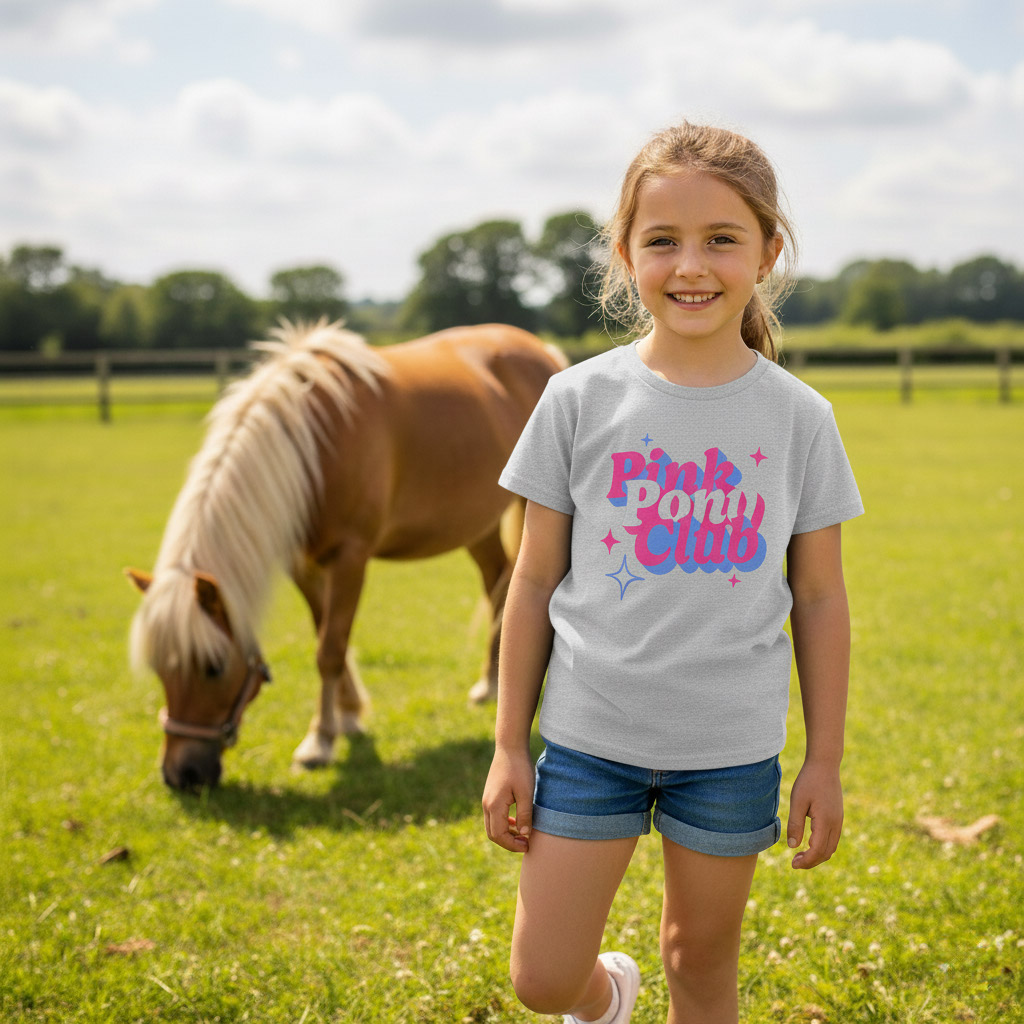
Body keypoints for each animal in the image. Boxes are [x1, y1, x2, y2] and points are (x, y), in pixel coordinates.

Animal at [126, 319, 566, 791]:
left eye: (213, 667)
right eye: (159, 668)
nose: (181, 775)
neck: (312, 444)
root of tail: (541, 349)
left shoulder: (350, 558)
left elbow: (330, 649)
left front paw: (319, 742)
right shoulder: (303, 565)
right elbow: (326, 634)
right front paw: (349, 717)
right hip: (474, 525)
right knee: (498, 584)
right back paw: (490, 685)